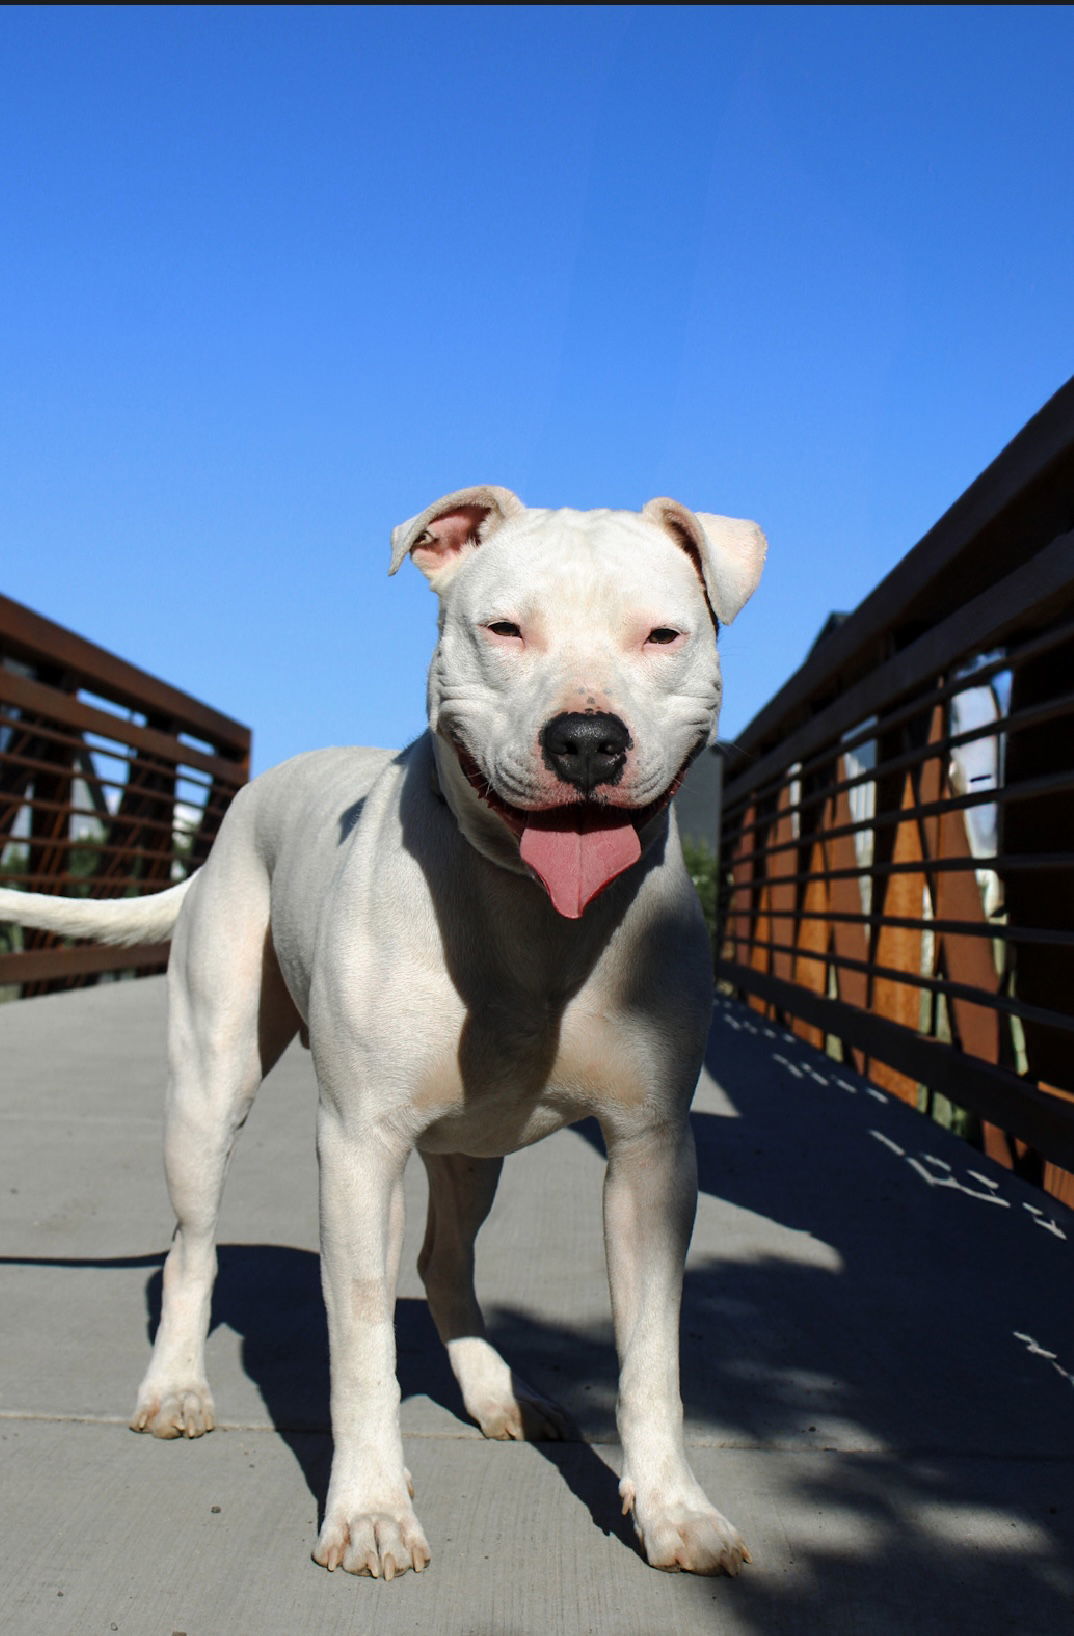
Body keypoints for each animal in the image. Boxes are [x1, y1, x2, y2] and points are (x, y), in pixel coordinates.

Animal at [4, 480, 766, 1570]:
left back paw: (496, 1392)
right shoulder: (360, 1146)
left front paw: (675, 1507)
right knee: (194, 1247)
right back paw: (177, 1385)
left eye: (663, 634)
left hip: (472, 1152)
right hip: (209, 1085)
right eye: (504, 628)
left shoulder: (651, 1152)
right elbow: (360, 1337)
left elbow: (650, 1352)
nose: (586, 738)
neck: (535, 915)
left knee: (446, 1264)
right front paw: (368, 1508)